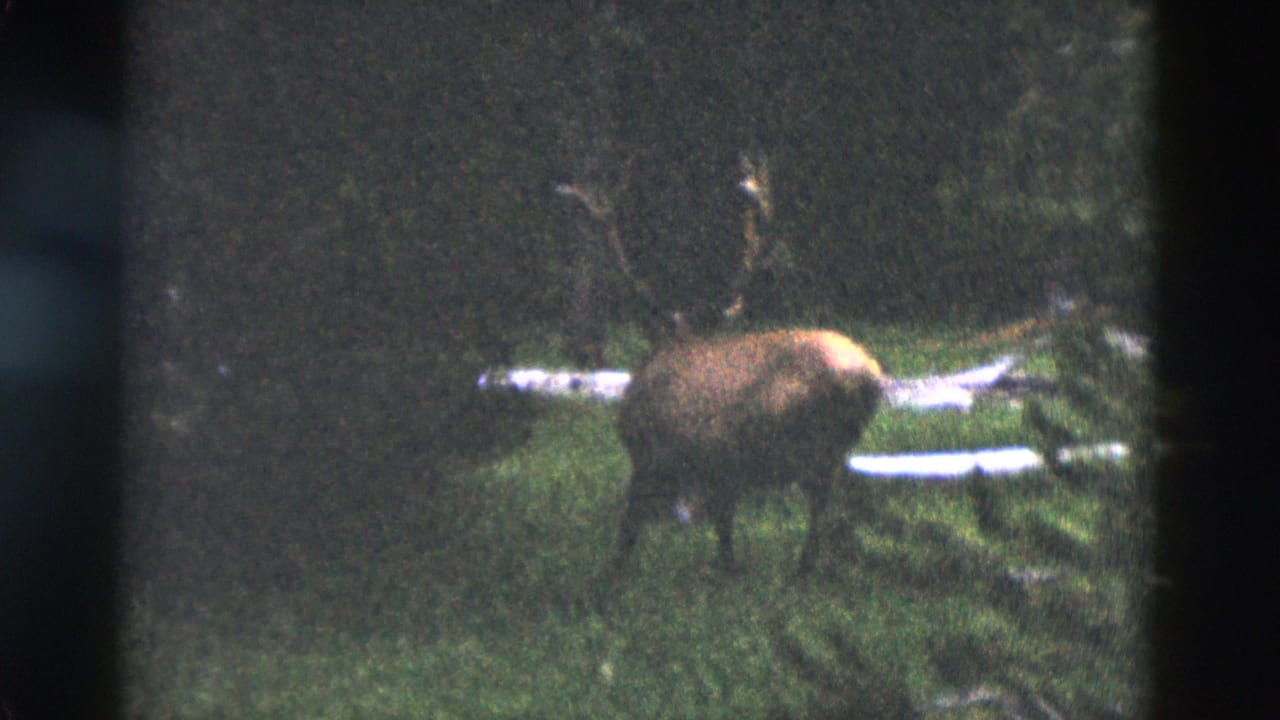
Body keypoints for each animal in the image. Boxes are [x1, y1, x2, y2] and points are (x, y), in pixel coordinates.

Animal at [560, 155, 883, 576]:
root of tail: (867, 377)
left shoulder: (657, 458)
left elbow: (632, 530)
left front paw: (614, 575)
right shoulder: (720, 472)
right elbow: (723, 530)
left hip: (809, 445)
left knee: (821, 513)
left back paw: (802, 569)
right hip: (834, 451)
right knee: (834, 511)